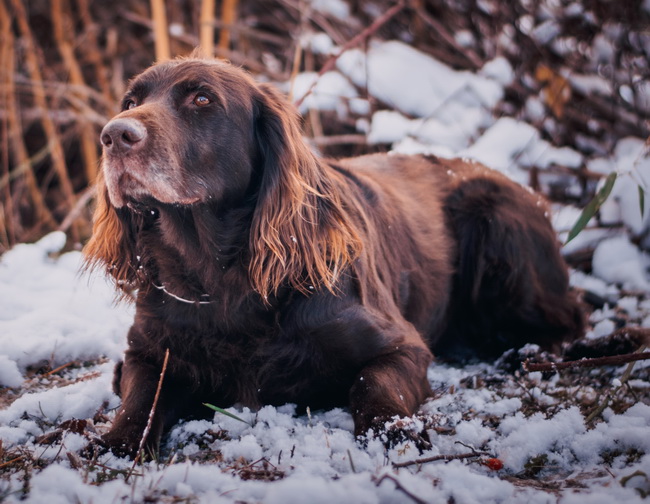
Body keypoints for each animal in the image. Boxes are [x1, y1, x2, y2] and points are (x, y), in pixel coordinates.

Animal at [83, 56, 584, 456]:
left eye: (202, 99)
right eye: (130, 101)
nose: (113, 135)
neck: (220, 277)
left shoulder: (402, 345)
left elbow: (370, 380)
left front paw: (392, 431)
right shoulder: (147, 351)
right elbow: (141, 397)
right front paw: (116, 441)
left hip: (497, 223)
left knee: (570, 317)